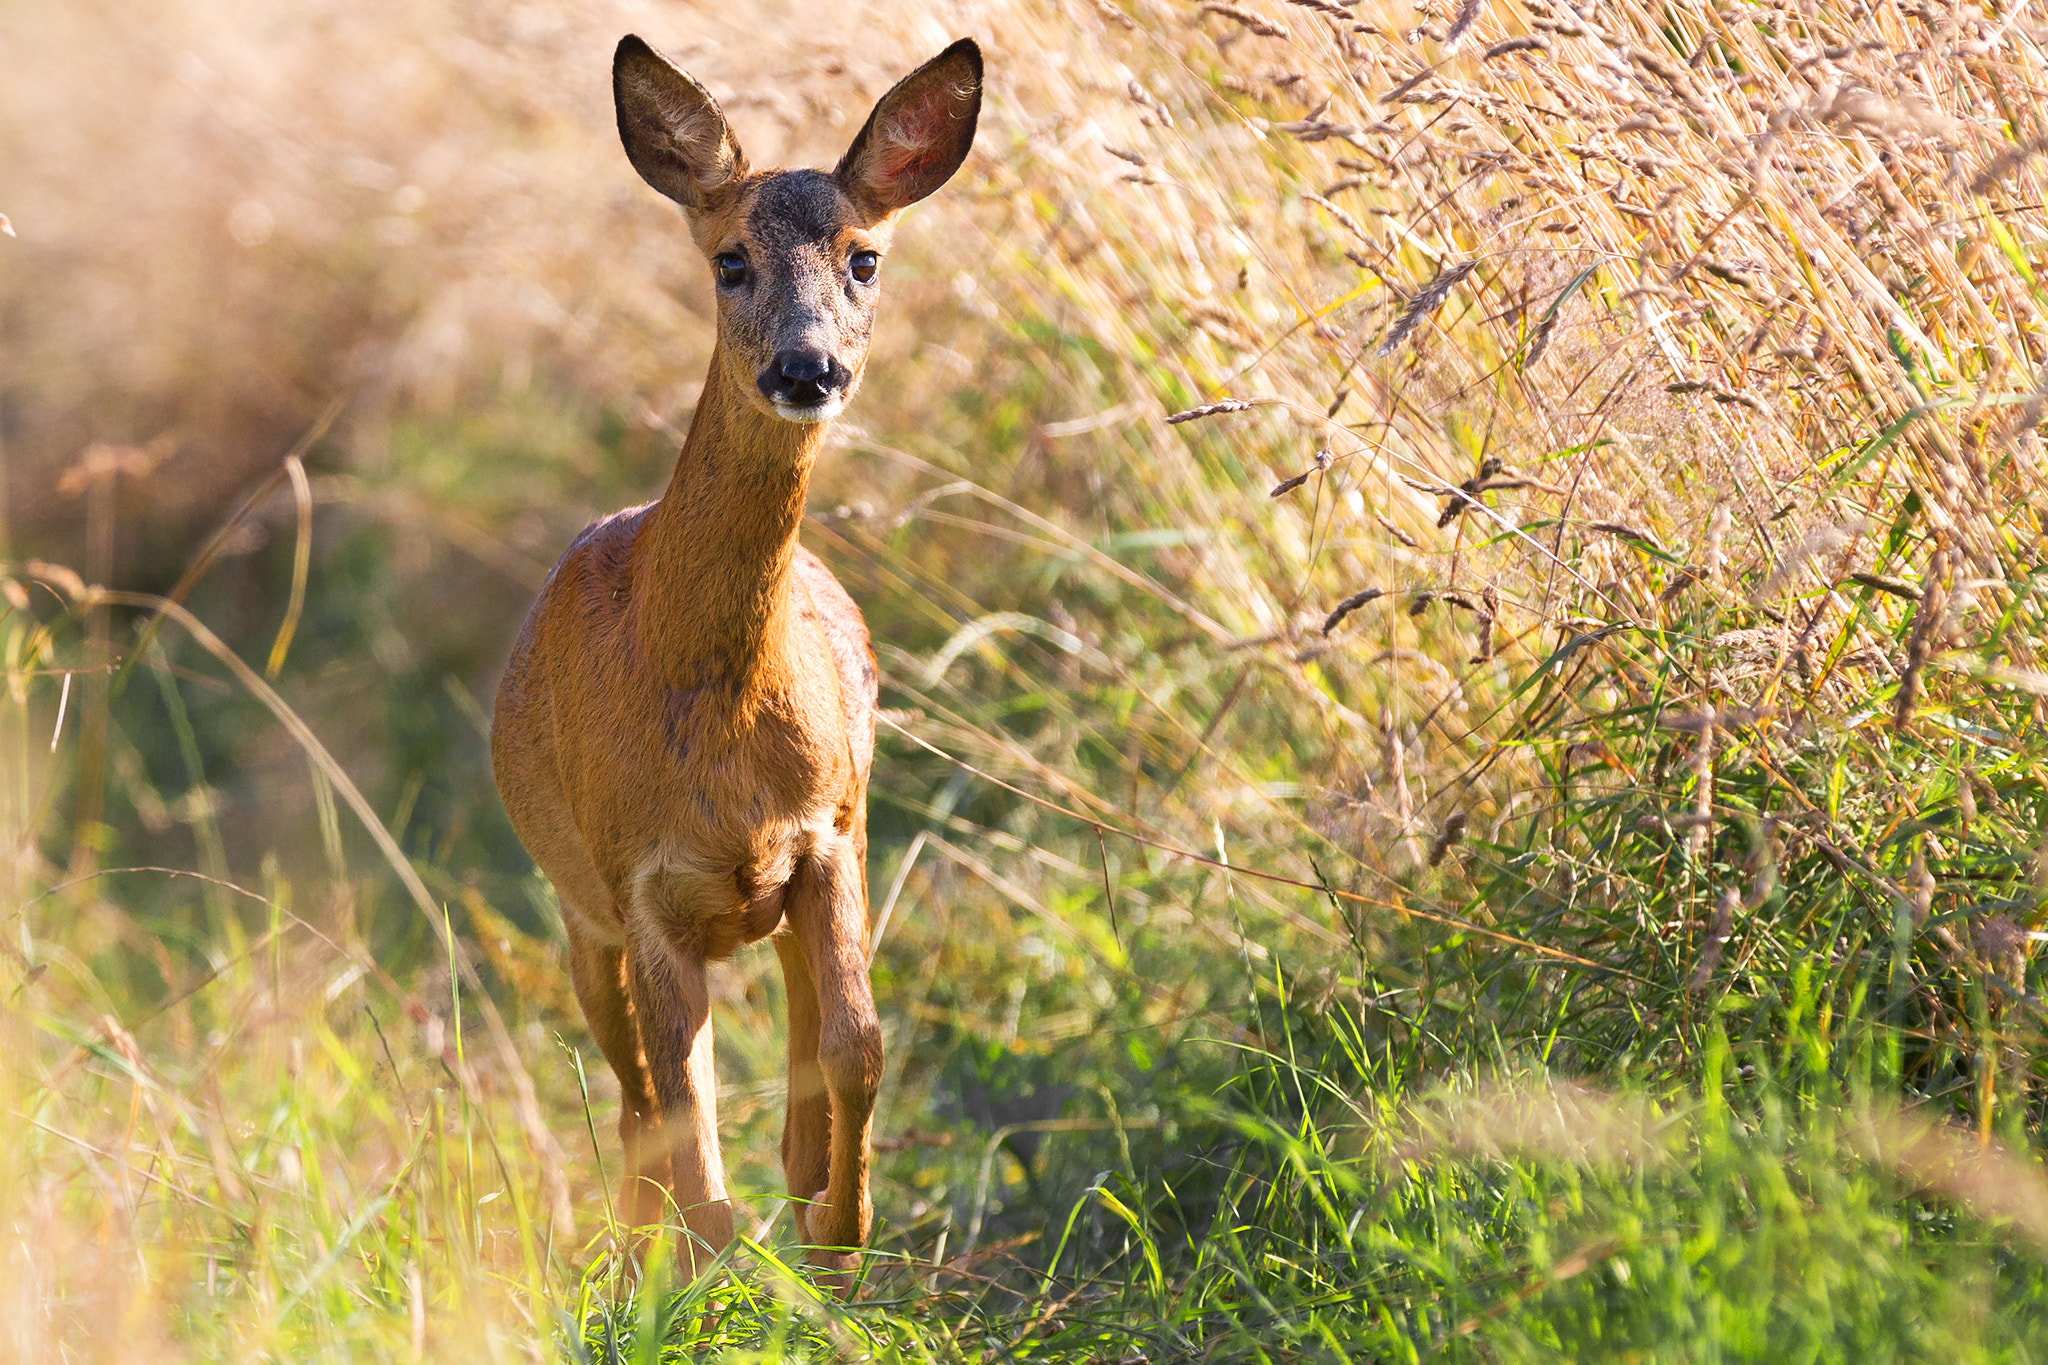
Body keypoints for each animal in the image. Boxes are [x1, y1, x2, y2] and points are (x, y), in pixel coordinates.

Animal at [487, 37, 983, 1285]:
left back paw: (800, 1187)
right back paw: (643, 1250)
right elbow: (685, 1135)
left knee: (797, 1037)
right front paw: (713, 1282)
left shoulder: (829, 833)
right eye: (727, 261)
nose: (806, 369)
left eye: (864, 259)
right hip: (579, 913)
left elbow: (858, 1043)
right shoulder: (638, 882)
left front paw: (840, 1238)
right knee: (629, 1097)